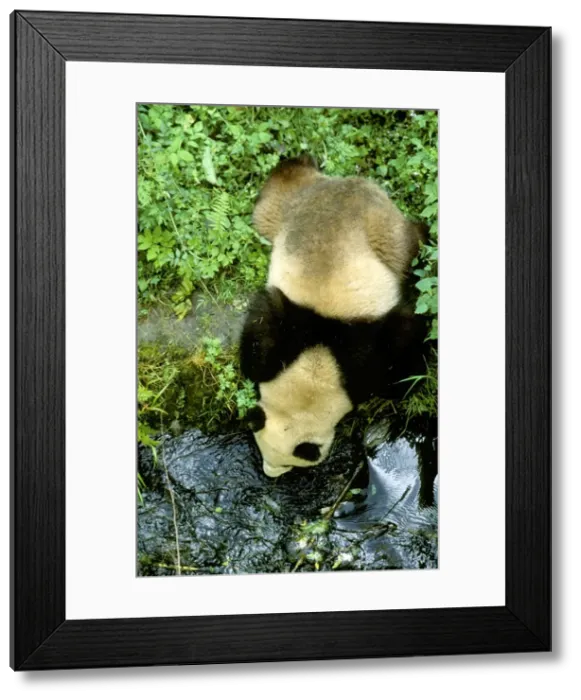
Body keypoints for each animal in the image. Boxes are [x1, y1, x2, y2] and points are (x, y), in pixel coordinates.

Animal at [239, 154, 428, 478]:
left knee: (407, 245)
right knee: (273, 200)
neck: (318, 365)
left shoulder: (364, 346)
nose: (269, 474)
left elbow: (398, 357)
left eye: (288, 465)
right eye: (263, 450)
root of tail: (344, 183)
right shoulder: (293, 324)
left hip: (383, 231)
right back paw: (298, 161)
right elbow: (262, 331)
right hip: (286, 214)